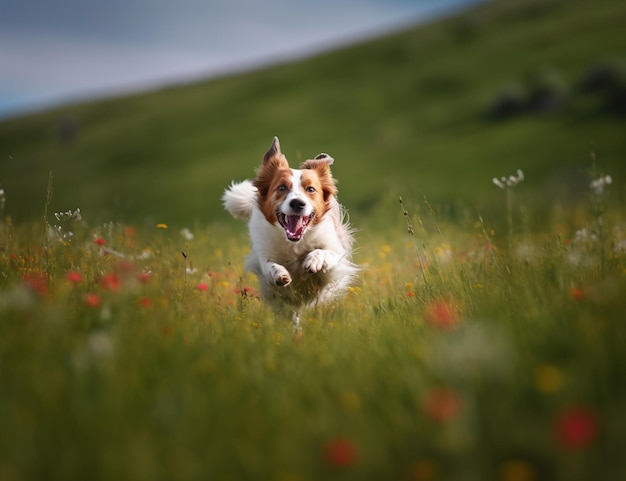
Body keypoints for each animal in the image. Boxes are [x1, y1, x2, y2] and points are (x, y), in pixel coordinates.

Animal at [221, 137, 356, 324]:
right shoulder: (263, 256)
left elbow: (324, 252)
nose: (297, 203)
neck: (295, 243)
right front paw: (280, 273)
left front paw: (313, 261)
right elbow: (270, 265)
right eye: (282, 188)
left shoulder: (336, 253)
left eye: (311, 189)